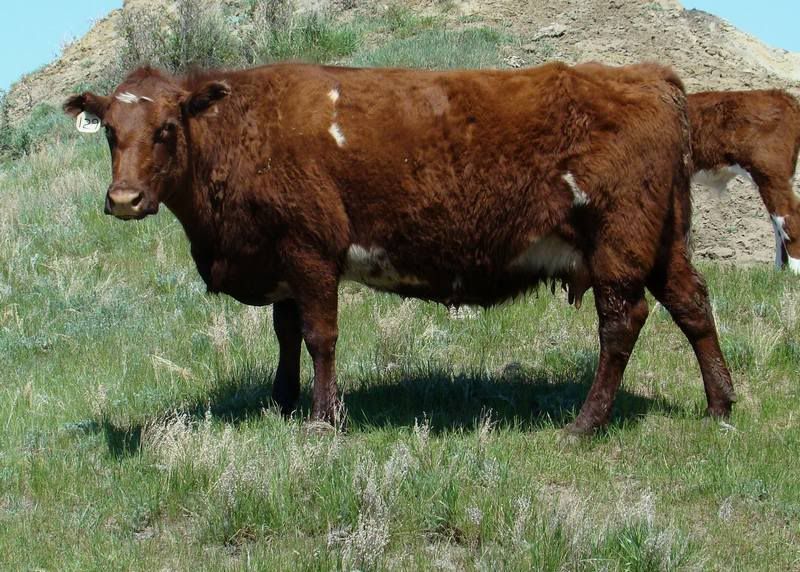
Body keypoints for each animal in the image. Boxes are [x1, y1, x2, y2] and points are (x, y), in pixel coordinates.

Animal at [65, 62, 736, 436]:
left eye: (166, 128)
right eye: (109, 132)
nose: (123, 198)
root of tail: (648, 75)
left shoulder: (310, 249)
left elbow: (319, 336)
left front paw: (322, 420)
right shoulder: (282, 258)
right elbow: (286, 333)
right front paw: (281, 402)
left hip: (619, 243)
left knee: (622, 323)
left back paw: (584, 424)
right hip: (663, 241)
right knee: (693, 304)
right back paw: (720, 407)